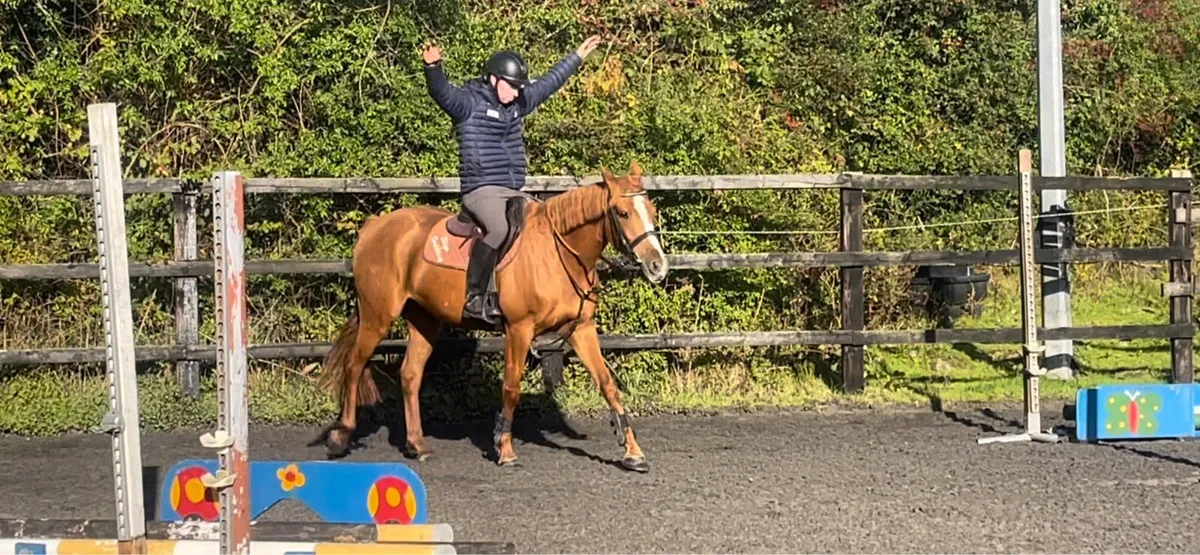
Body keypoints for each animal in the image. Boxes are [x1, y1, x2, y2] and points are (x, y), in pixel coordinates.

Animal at [312, 160, 668, 471]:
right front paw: (505, 449)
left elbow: (608, 384)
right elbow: (511, 387)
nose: (657, 265)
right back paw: (341, 437)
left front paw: (633, 452)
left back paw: (417, 444)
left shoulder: (581, 329)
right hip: (377, 315)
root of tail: (374, 226)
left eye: (651, 211)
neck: (556, 254)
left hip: (423, 319)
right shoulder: (518, 330)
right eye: (622, 213)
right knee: (354, 365)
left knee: (410, 374)